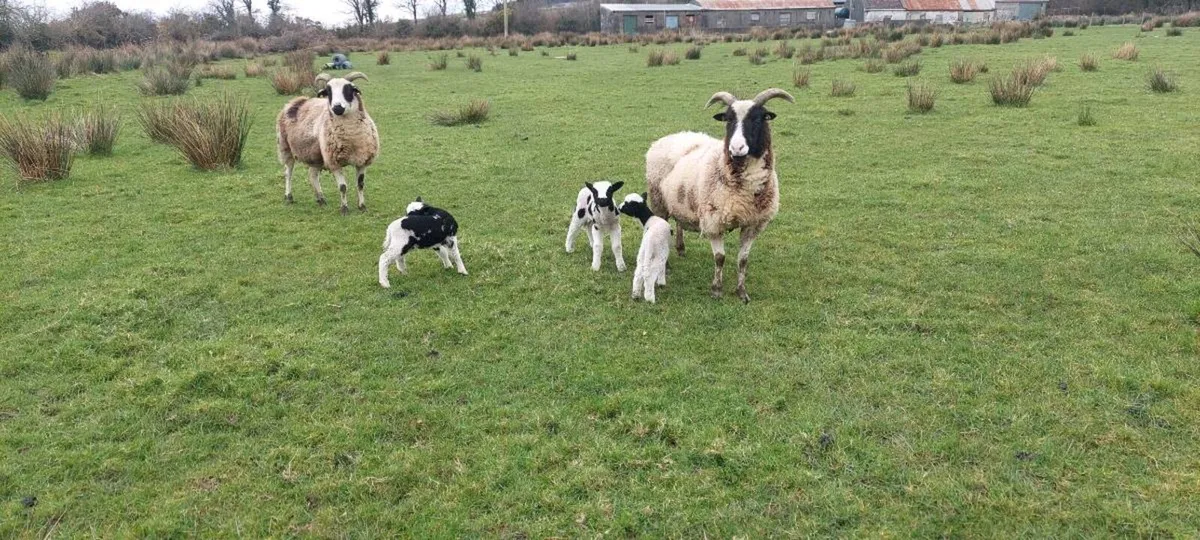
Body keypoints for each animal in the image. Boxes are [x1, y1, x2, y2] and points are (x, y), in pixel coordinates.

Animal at [276, 72, 380, 215]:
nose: (337, 108)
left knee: (312, 175)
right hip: (286, 148)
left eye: (349, 89)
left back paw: (320, 198)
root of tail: (295, 101)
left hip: (316, 155)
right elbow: (343, 187)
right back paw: (289, 196)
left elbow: (360, 184)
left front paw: (362, 206)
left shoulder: (362, 161)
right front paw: (344, 209)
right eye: (328, 92)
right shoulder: (334, 162)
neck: (352, 138)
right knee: (288, 173)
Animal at [645, 88, 794, 303]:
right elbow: (720, 258)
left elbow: (743, 260)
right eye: (728, 119)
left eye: (758, 118)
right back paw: (666, 265)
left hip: (681, 199)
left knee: (679, 221)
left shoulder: (753, 224)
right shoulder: (714, 221)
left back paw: (680, 248)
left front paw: (742, 292)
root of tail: (666, 138)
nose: (736, 148)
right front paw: (716, 290)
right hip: (658, 201)